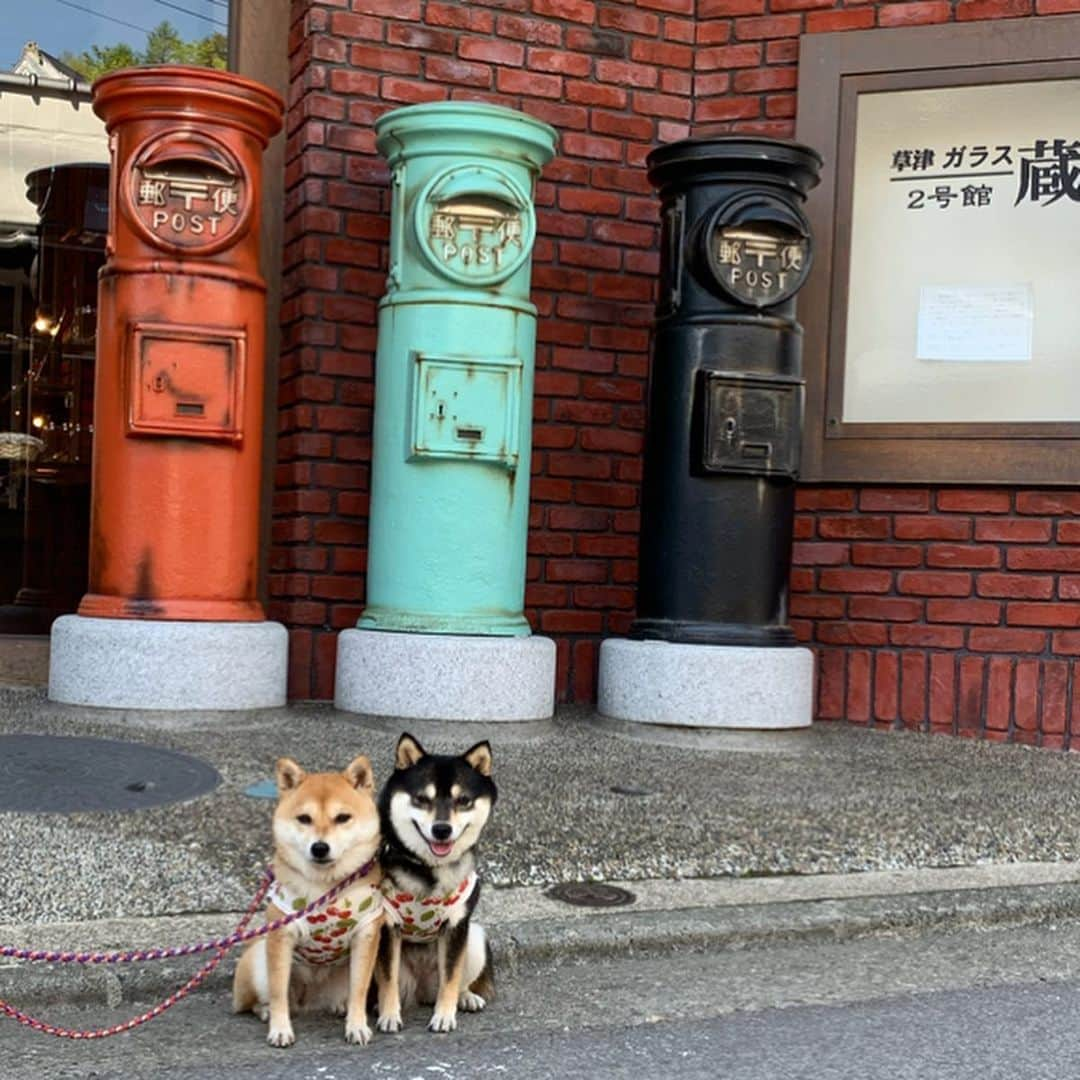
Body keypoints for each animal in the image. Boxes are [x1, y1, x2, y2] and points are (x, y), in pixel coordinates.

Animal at [232, 760, 384, 1045]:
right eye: (304, 818)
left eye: (342, 818)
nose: (320, 847)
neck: (325, 888)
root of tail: (310, 1001)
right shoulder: (280, 935)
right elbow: (278, 991)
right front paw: (280, 1029)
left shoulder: (366, 934)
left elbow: (359, 990)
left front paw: (357, 1026)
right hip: (259, 959)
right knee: (257, 1001)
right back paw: (266, 1011)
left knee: (344, 995)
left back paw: (340, 1006)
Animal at [375, 730, 496, 1032]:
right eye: (421, 798)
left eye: (463, 800)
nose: (442, 829)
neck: (429, 869)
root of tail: (422, 989)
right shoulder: (386, 926)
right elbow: (387, 978)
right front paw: (389, 1015)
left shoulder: (456, 925)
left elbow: (451, 977)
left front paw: (444, 1016)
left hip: (475, 938)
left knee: (454, 980)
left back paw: (465, 997)